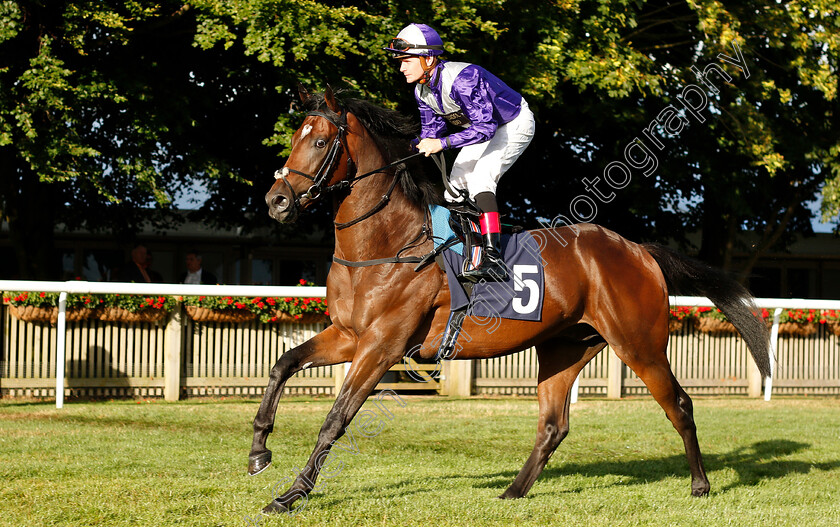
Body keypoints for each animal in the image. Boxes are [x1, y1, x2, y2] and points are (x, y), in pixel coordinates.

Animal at [253, 86, 772, 516]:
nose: (277, 201)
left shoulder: (382, 345)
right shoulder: (348, 335)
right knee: (553, 424)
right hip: (564, 347)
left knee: (679, 405)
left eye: (321, 142)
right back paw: (513, 491)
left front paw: (291, 494)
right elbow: (282, 364)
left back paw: (701, 486)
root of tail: (638, 250)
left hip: (639, 343)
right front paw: (259, 449)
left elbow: (336, 418)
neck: (388, 244)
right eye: (295, 137)